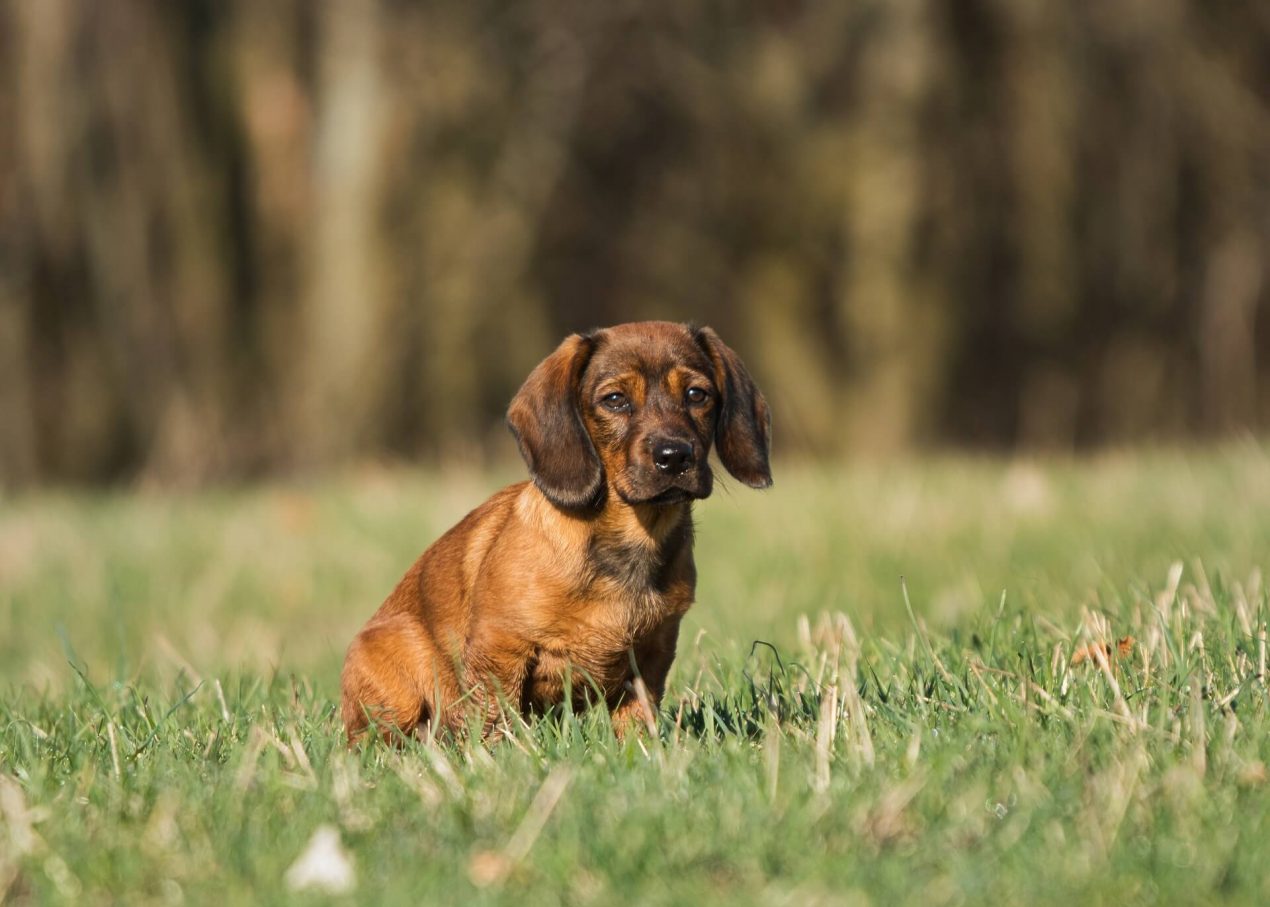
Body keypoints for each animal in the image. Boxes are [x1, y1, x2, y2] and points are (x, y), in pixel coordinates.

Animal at [340, 321, 772, 736]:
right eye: (614, 399)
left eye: (697, 395)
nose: (675, 456)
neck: (629, 541)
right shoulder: (499, 651)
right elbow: (496, 725)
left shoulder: (651, 657)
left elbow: (637, 726)